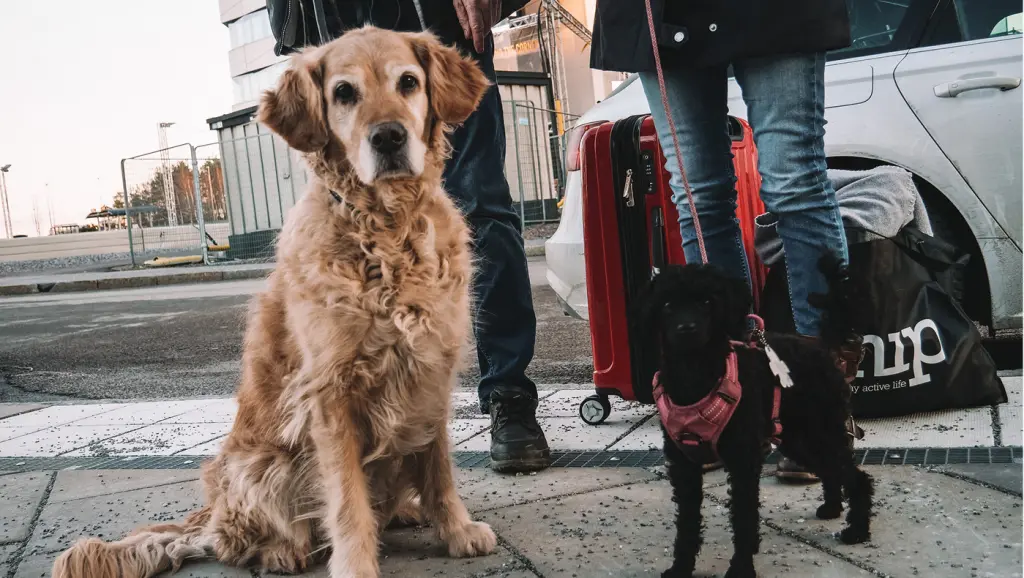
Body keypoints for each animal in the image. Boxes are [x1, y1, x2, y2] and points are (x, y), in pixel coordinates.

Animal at [638, 258, 872, 578]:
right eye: (668, 304)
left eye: (707, 301)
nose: (686, 329)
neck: (696, 375)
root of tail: (823, 347)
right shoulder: (683, 463)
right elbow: (687, 522)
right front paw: (681, 567)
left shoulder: (743, 460)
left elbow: (744, 516)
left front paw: (740, 567)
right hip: (800, 439)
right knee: (831, 470)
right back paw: (832, 508)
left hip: (822, 430)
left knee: (856, 476)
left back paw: (856, 531)